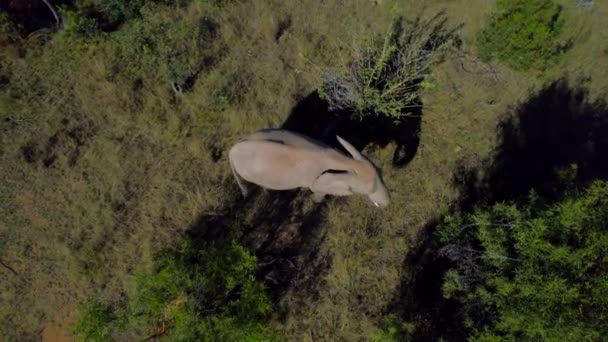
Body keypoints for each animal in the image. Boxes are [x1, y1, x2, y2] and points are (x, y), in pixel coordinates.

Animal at [228, 129, 390, 207]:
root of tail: (231, 151)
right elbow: (318, 193)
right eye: (368, 191)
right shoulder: (316, 181)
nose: (387, 204)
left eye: (382, 172)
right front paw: (314, 202)